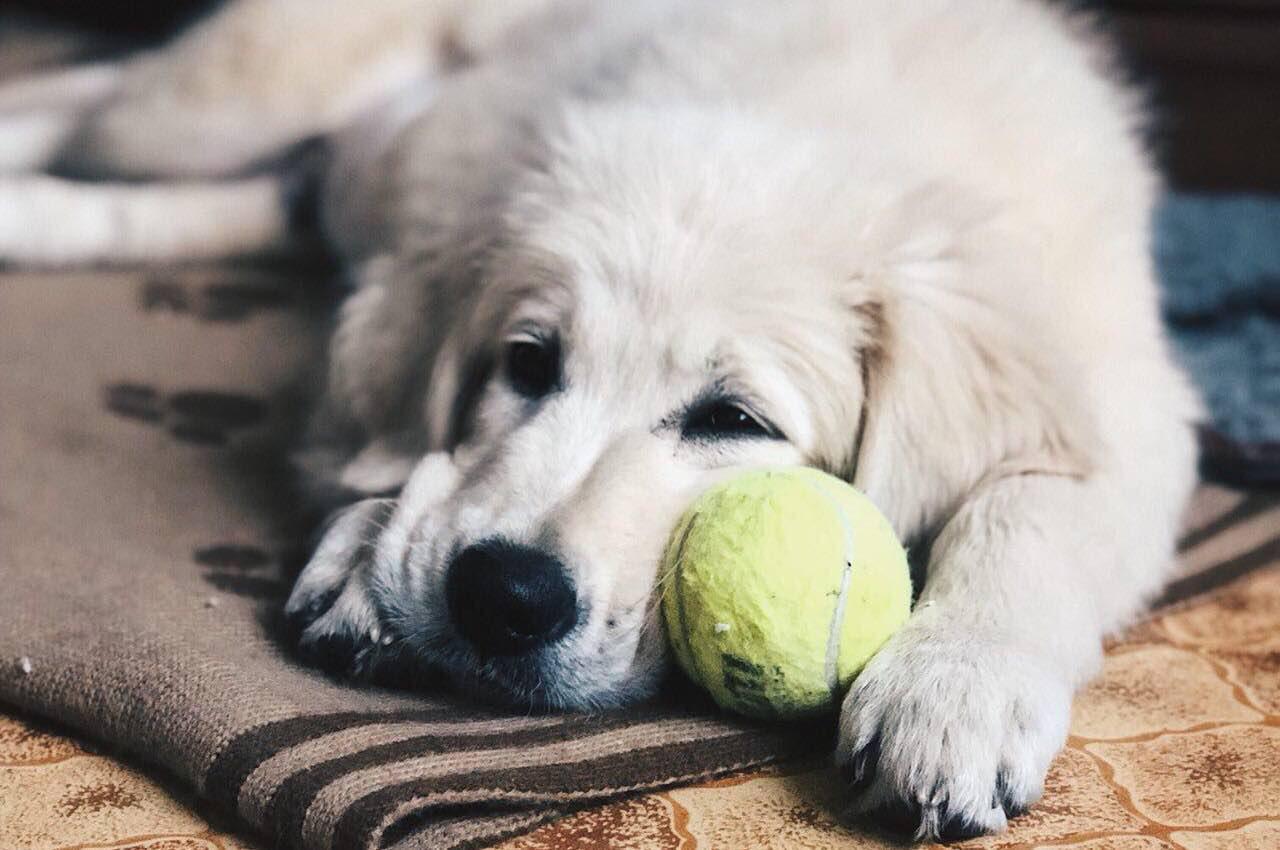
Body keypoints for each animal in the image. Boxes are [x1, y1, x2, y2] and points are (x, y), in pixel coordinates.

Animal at [0, 0, 1198, 834]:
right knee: (98, 101)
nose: (501, 598)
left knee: (239, 187)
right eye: (527, 363)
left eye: (732, 418)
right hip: (230, 94)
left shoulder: (1125, 405)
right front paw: (370, 553)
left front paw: (953, 690)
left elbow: (1029, 515)